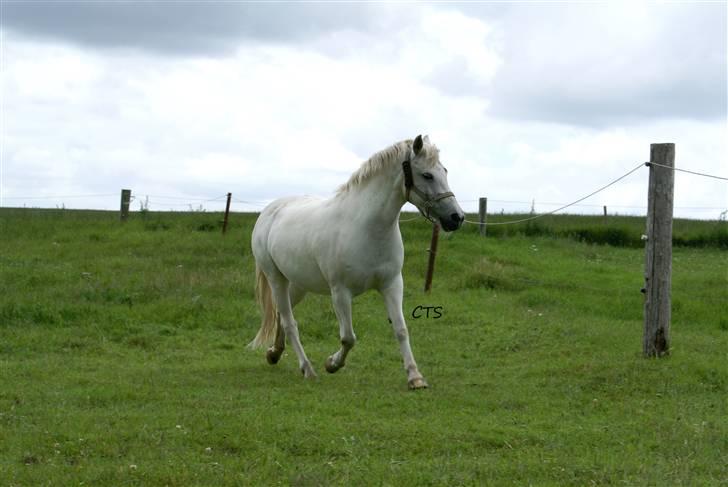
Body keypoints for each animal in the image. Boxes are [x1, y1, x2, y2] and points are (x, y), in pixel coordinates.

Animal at [247, 135, 464, 390]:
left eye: (444, 171)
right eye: (427, 175)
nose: (456, 217)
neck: (367, 227)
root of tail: (269, 211)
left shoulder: (392, 285)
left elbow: (401, 329)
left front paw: (415, 377)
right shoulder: (341, 292)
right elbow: (348, 338)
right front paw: (331, 364)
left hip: (299, 284)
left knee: (282, 315)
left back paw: (274, 353)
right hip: (276, 279)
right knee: (290, 322)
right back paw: (307, 369)